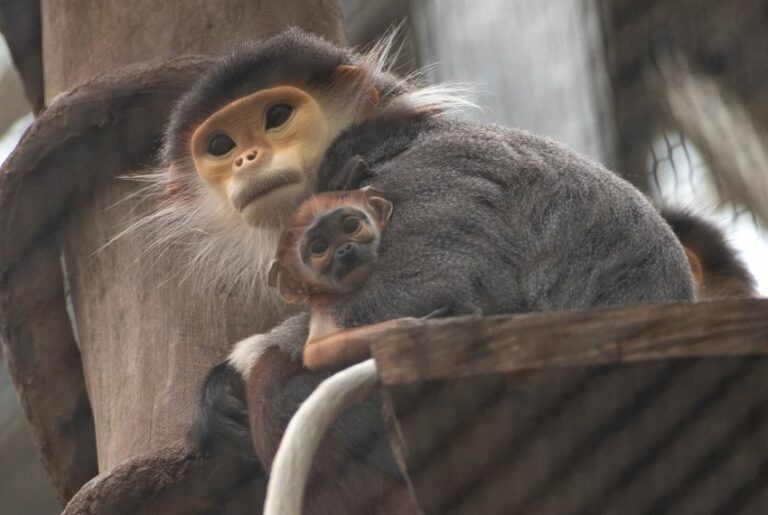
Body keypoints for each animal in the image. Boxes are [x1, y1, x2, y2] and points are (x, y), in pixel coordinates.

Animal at [268, 189, 414, 370]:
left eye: (351, 226)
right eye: (319, 247)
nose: (345, 249)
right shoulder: (324, 305)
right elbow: (317, 351)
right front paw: (408, 326)